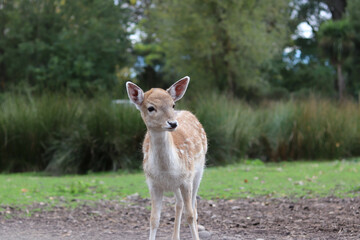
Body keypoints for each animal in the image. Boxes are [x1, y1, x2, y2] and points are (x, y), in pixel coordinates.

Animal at [126, 77, 207, 240]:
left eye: (172, 104)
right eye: (151, 108)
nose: (173, 123)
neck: (166, 170)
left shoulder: (187, 179)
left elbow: (190, 215)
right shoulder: (153, 183)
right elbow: (153, 219)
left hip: (199, 171)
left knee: (193, 205)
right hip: (176, 185)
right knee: (179, 203)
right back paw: (175, 237)